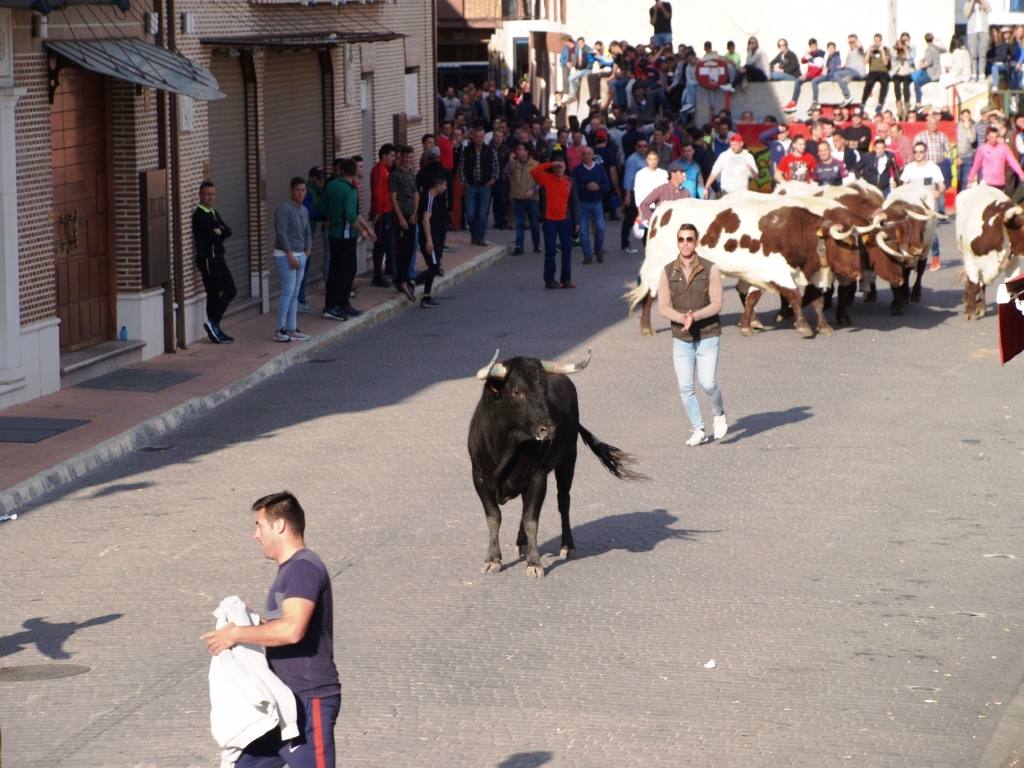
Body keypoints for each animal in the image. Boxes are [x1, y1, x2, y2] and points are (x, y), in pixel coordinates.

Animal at [468, 352, 643, 581]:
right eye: (517, 391)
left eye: (544, 390)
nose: (549, 429)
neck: (507, 447)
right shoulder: (479, 478)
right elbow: (494, 518)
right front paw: (492, 560)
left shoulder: (538, 478)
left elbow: (531, 520)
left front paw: (534, 563)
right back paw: (521, 543)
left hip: (568, 460)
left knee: (563, 502)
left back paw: (567, 546)